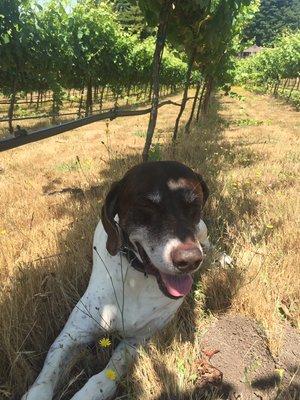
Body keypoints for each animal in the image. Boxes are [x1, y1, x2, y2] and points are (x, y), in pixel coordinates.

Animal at [23, 161, 210, 400]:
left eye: (194, 204)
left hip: (202, 230)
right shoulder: (72, 334)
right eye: (146, 206)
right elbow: (46, 376)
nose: (189, 260)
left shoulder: (138, 339)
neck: (137, 277)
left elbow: (106, 375)